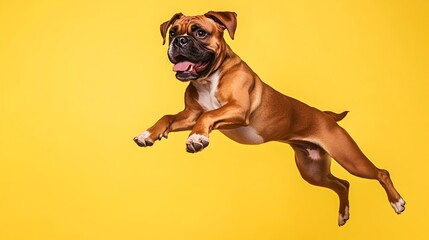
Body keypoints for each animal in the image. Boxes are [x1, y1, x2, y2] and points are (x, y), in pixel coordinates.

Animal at [135, 10, 404, 225]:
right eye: (172, 32)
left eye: (200, 33)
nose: (178, 41)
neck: (208, 78)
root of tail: (326, 116)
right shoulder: (190, 115)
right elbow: (168, 117)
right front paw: (148, 134)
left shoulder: (237, 110)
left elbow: (209, 115)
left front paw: (196, 138)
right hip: (313, 172)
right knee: (343, 184)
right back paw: (343, 214)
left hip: (350, 158)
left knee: (380, 173)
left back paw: (397, 203)